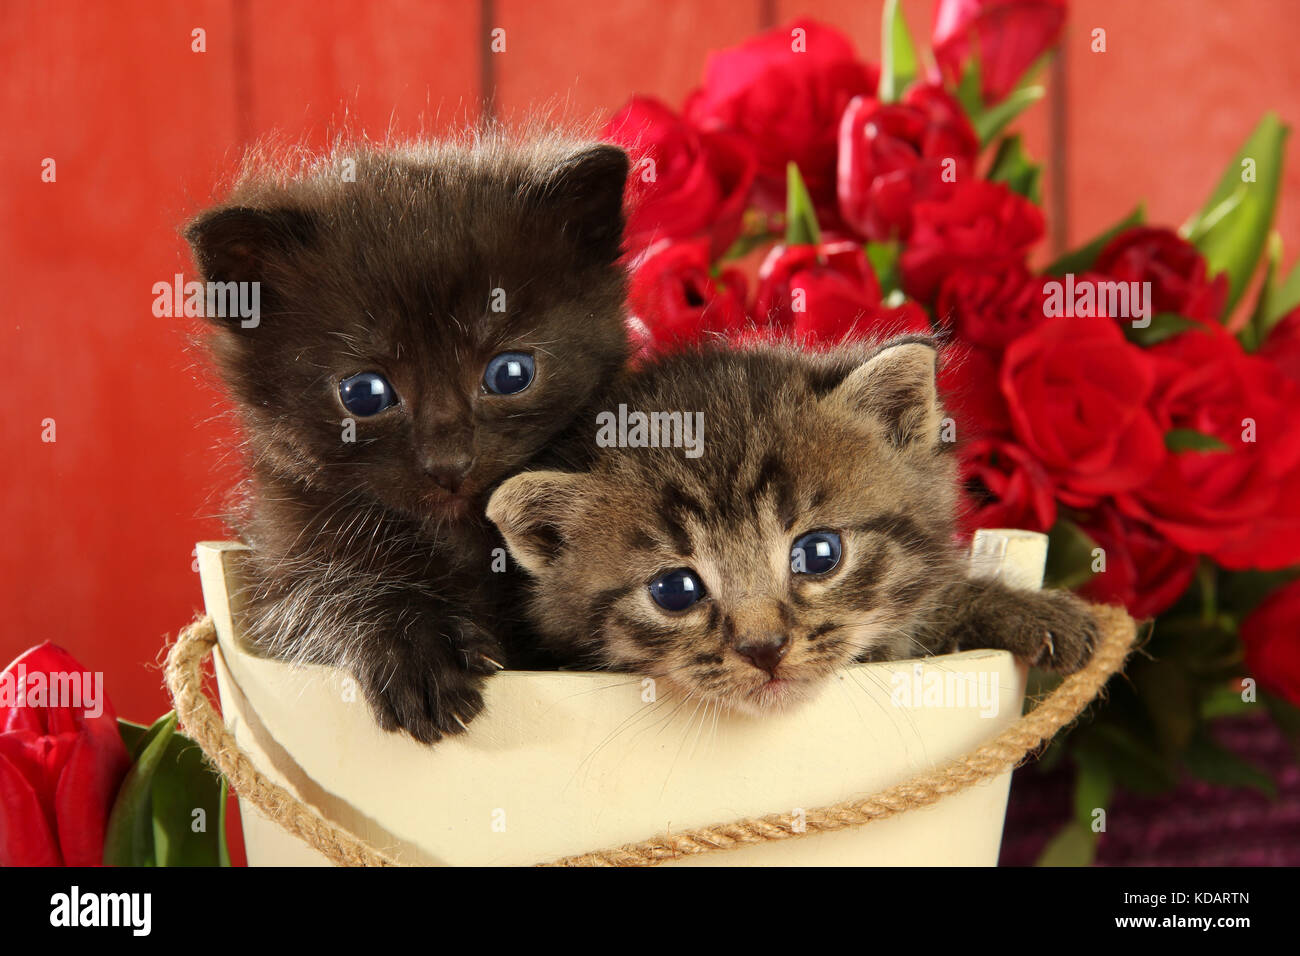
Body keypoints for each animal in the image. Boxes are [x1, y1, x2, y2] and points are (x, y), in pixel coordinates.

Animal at [187, 134, 629, 738]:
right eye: (364, 394)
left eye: (511, 373)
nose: (450, 465)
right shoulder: (274, 571)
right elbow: (316, 592)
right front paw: (416, 649)